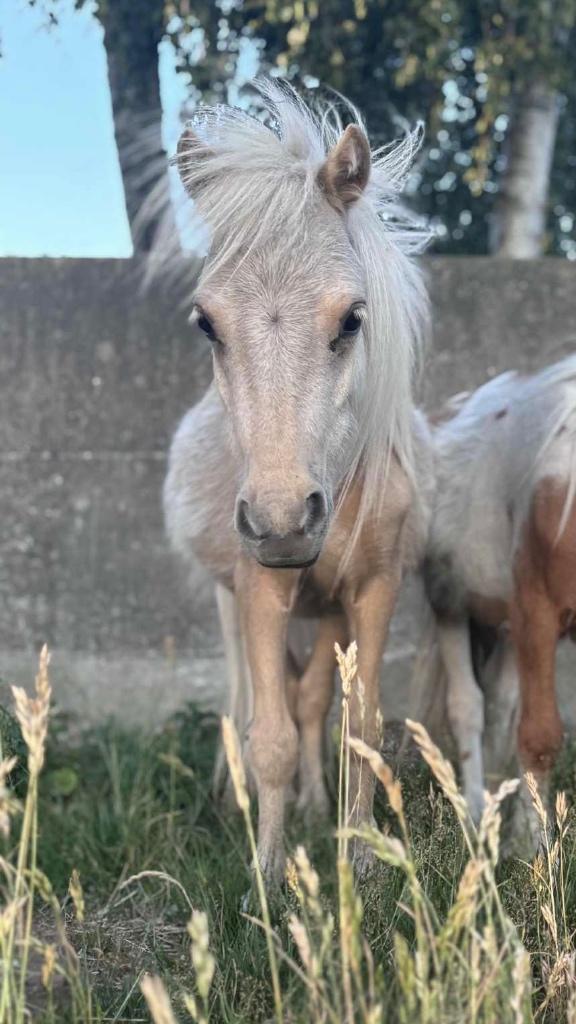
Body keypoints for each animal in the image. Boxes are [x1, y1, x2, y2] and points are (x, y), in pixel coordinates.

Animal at [161, 82, 430, 884]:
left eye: (353, 318)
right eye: (206, 323)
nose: (283, 522)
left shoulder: (372, 591)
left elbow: (356, 721)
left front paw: (361, 857)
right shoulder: (260, 590)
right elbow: (270, 735)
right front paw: (266, 871)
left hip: (329, 609)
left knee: (310, 699)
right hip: (231, 599)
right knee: (246, 697)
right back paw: (234, 800)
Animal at [420, 355, 576, 840]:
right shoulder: (538, 613)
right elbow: (540, 735)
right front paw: (536, 844)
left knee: (501, 705)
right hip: (453, 607)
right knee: (468, 707)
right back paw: (473, 813)